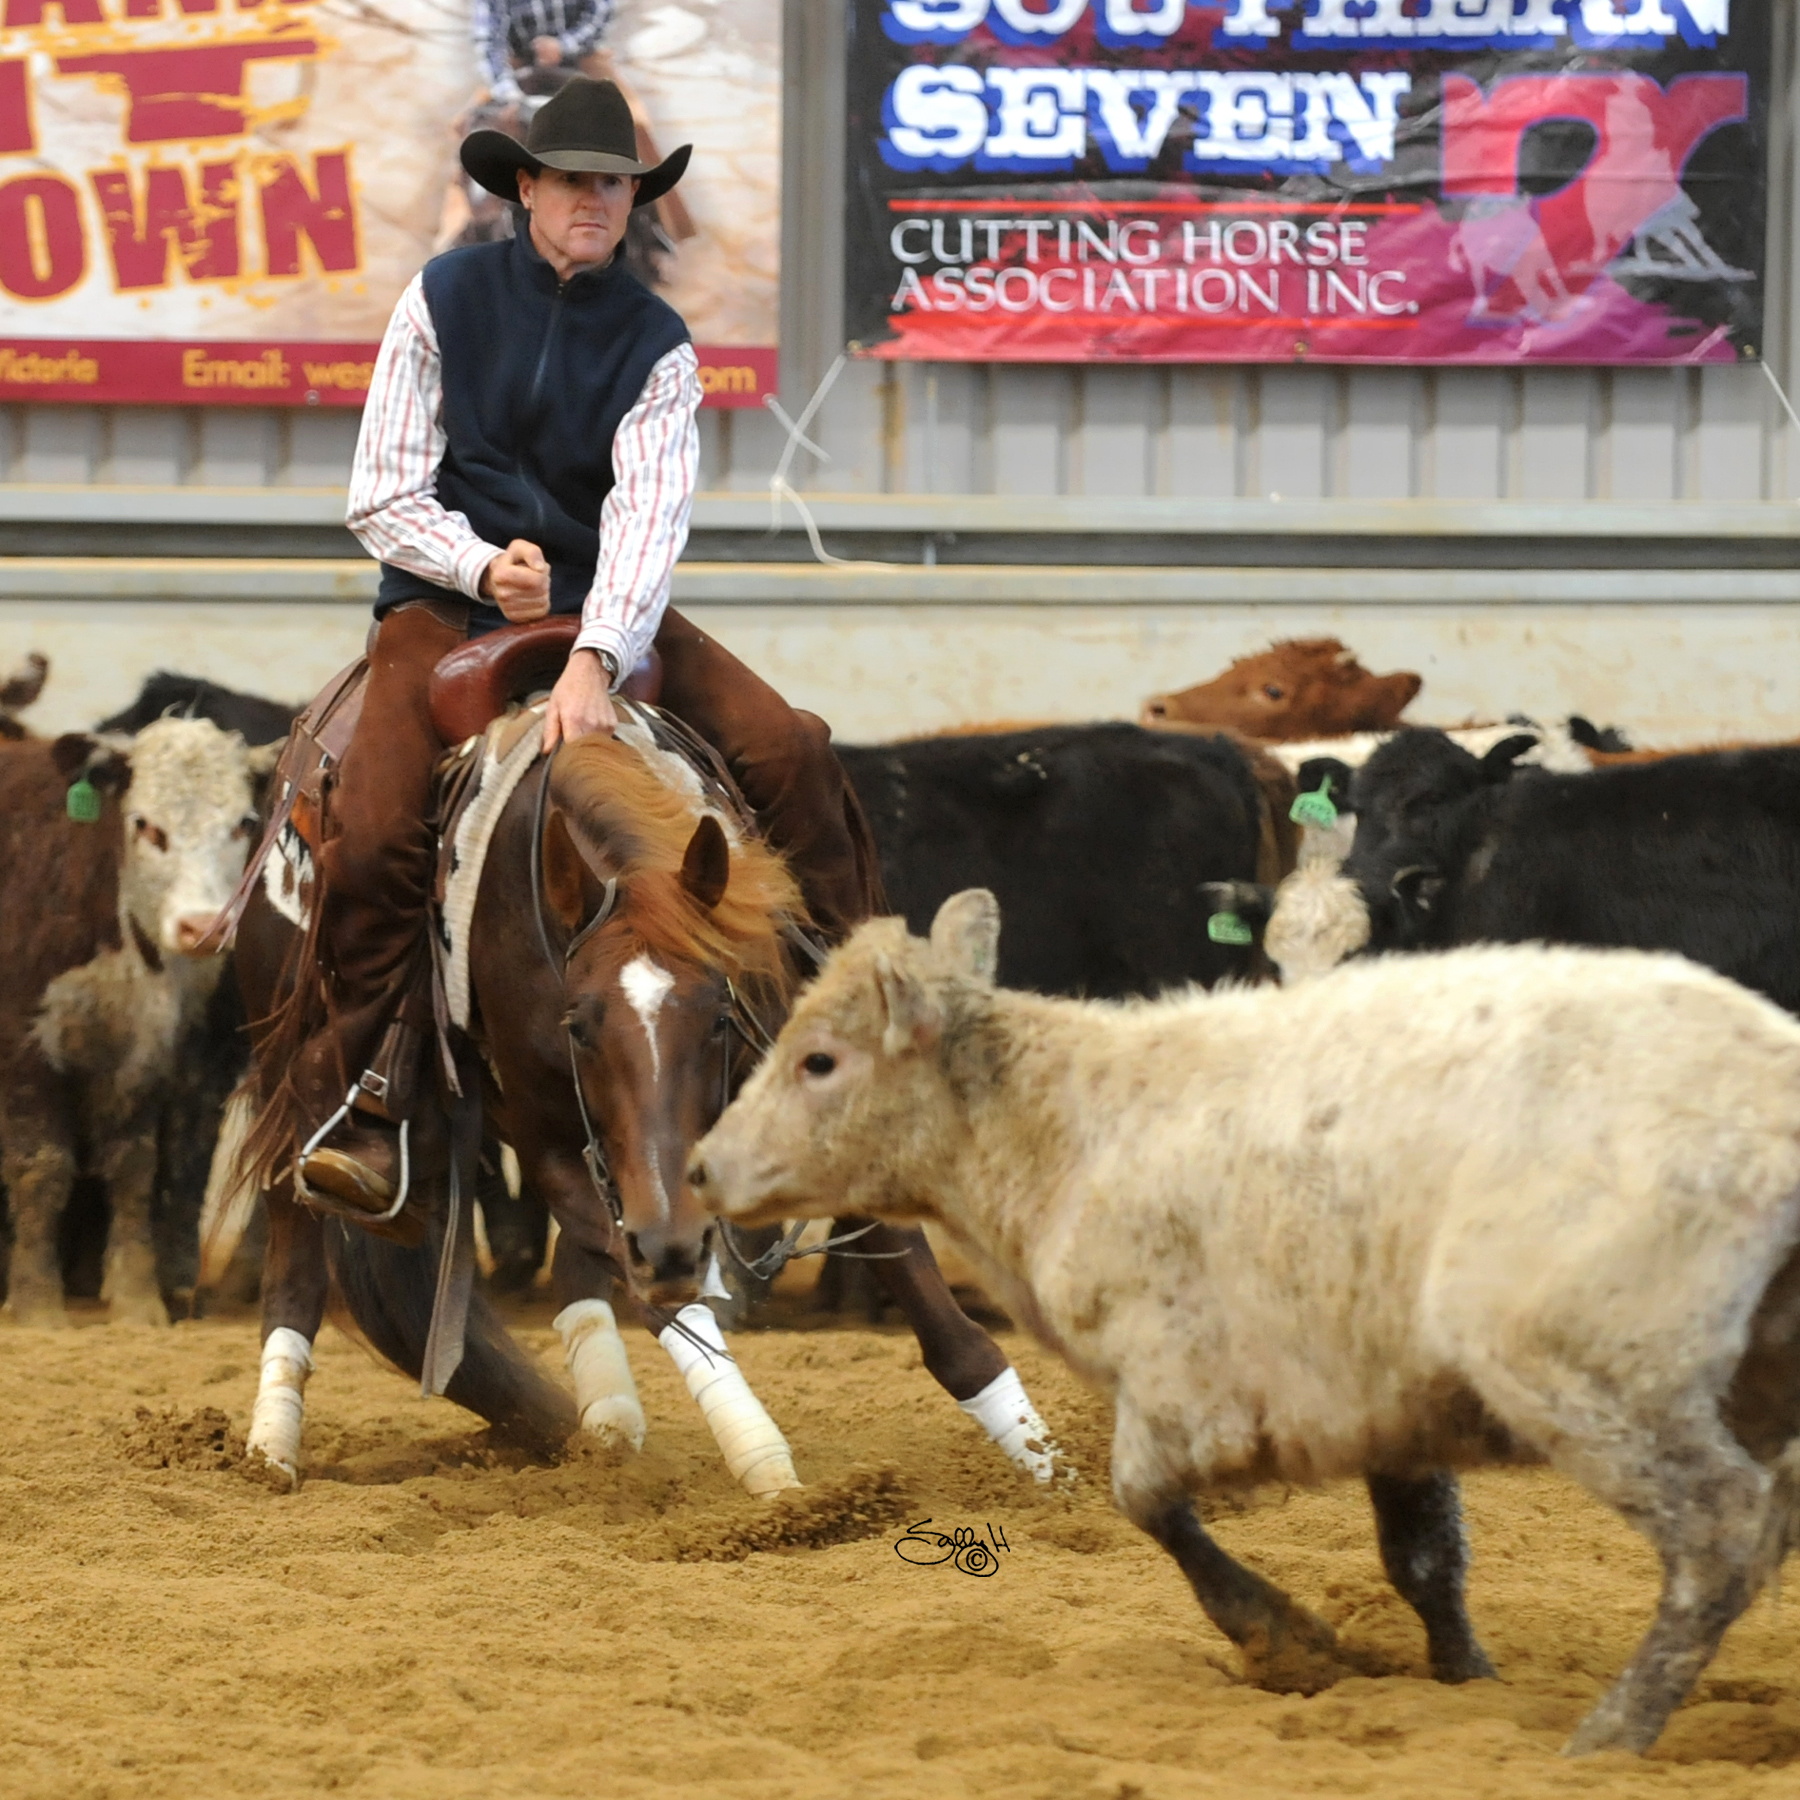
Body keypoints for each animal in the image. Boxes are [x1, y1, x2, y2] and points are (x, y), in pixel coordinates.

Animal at [0, 719, 273, 1325]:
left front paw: (135, 1298)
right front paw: (35, 1304)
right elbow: (41, 1167)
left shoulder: (147, 1051)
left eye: (244, 823)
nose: (204, 928)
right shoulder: (23, 1049)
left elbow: (135, 1167)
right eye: (145, 824)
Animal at [224, 641, 1058, 1491]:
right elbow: (656, 1283)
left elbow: (909, 1271)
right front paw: (767, 1466)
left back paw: (608, 1420)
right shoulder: (555, 1145)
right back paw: (272, 1445)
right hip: (294, 1076)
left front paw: (1037, 1454)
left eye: (720, 1016)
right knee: (298, 1250)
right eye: (577, 1026)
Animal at [692, 893, 1800, 1758]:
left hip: (1590, 1367)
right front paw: (1467, 1680)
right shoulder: (1381, 1394)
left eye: (819, 1060)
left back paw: (1611, 1735)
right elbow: (1425, 1561)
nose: (701, 1166)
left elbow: (1149, 1507)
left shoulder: (1186, 1385)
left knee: (1721, 1533)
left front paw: (1284, 1638)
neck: (1066, 1125)